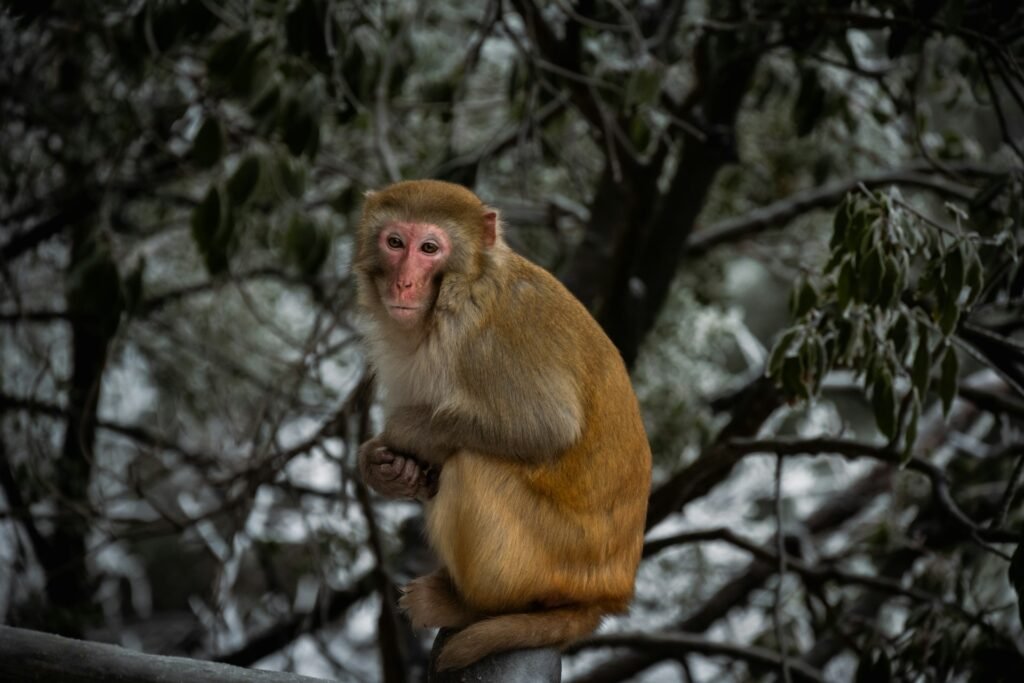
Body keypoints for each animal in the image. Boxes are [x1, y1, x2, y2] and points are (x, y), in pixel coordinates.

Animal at [352, 179, 651, 672]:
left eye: (430, 248)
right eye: (395, 242)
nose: (403, 281)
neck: (456, 292)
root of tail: (609, 593)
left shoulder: (487, 340)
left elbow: (547, 427)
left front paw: (401, 433)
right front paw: (386, 467)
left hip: (553, 561)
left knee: (472, 465)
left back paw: (471, 605)